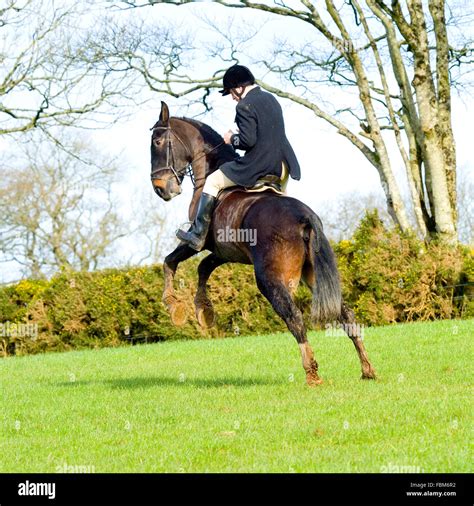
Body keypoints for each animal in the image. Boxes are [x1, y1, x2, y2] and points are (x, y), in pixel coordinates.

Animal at [150, 103, 376, 388]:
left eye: (157, 142)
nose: (160, 189)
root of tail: (305, 217)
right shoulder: (225, 252)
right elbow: (203, 268)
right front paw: (204, 312)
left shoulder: (198, 241)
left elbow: (170, 260)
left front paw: (174, 308)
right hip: (313, 276)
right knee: (345, 314)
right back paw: (367, 370)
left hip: (271, 280)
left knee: (295, 318)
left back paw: (312, 374)